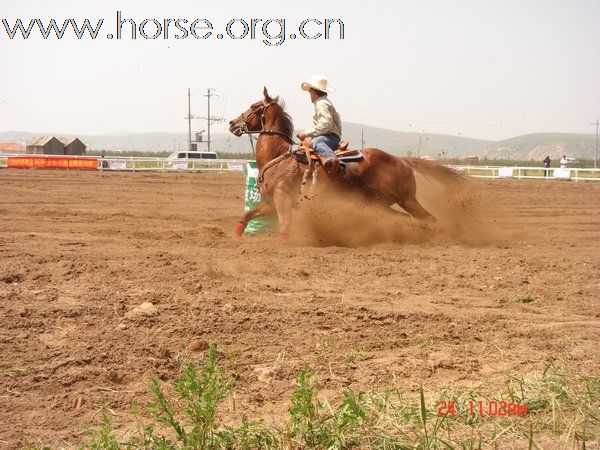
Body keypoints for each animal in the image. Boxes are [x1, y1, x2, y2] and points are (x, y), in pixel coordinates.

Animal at [226, 89, 464, 241]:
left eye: (253, 106)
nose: (232, 123)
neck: (278, 157)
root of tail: (401, 160)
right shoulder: (271, 202)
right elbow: (247, 215)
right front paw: (235, 235)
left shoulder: (282, 198)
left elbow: (285, 224)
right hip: (380, 204)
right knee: (407, 219)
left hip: (407, 199)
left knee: (430, 218)